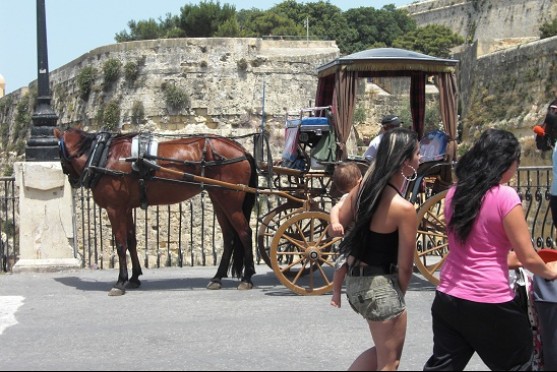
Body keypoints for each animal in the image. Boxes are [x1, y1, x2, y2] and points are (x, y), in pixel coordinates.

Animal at [53, 128, 258, 296]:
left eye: (58, 152)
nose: (72, 180)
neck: (105, 155)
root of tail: (242, 150)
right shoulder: (126, 209)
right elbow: (131, 241)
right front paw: (134, 277)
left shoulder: (115, 209)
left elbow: (120, 245)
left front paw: (120, 282)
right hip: (219, 199)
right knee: (230, 237)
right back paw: (217, 278)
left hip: (230, 202)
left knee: (245, 233)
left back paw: (247, 278)